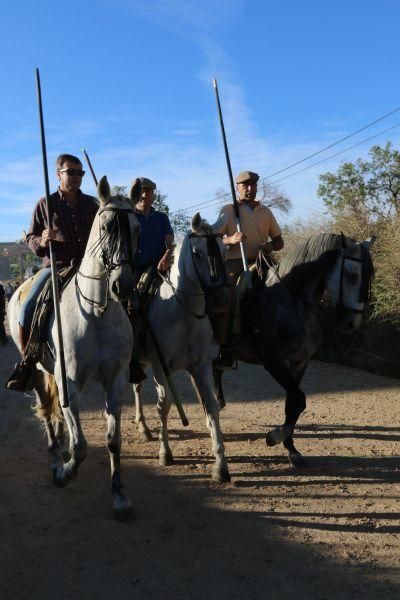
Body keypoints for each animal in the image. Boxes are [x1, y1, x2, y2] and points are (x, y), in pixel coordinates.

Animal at [7, 178, 141, 520]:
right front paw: (65, 472)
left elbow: (113, 440)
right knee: (45, 410)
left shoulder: (116, 382)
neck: (96, 314)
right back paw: (56, 457)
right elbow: (79, 446)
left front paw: (120, 495)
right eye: (105, 226)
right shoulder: (69, 383)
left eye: (136, 228)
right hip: (37, 371)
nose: (123, 285)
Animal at [134, 214, 231, 482]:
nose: (221, 298)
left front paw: (221, 465)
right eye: (197, 252)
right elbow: (164, 406)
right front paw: (165, 453)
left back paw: (143, 427)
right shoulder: (160, 368)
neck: (181, 312)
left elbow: (211, 407)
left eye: (224, 250)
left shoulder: (201, 367)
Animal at [214, 232, 374, 466]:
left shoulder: (299, 364)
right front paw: (275, 436)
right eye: (352, 275)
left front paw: (291, 449)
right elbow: (299, 400)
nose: (352, 323)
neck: (291, 300)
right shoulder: (275, 364)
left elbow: (293, 405)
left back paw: (218, 402)